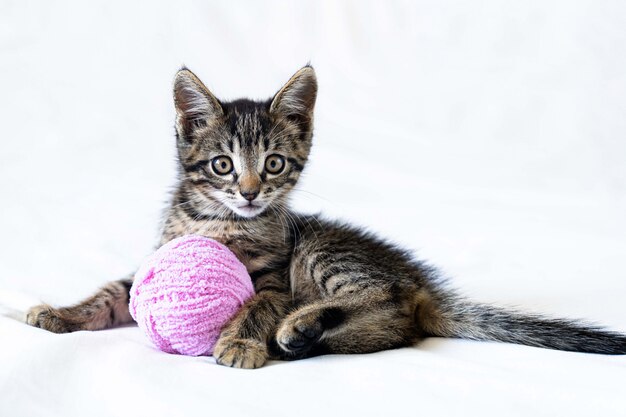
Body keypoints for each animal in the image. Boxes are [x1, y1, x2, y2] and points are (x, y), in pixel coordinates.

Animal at [25, 65, 624, 368]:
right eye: (222, 164)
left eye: (273, 163)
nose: (249, 193)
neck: (218, 221)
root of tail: (421, 283)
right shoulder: (158, 257)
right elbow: (113, 293)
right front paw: (60, 313)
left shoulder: (273, 275)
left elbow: (258, 303)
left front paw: (241, 341)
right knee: (397, 329)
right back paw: (304, 339)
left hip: (322, 251)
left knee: (388, 301)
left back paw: (297, 329)